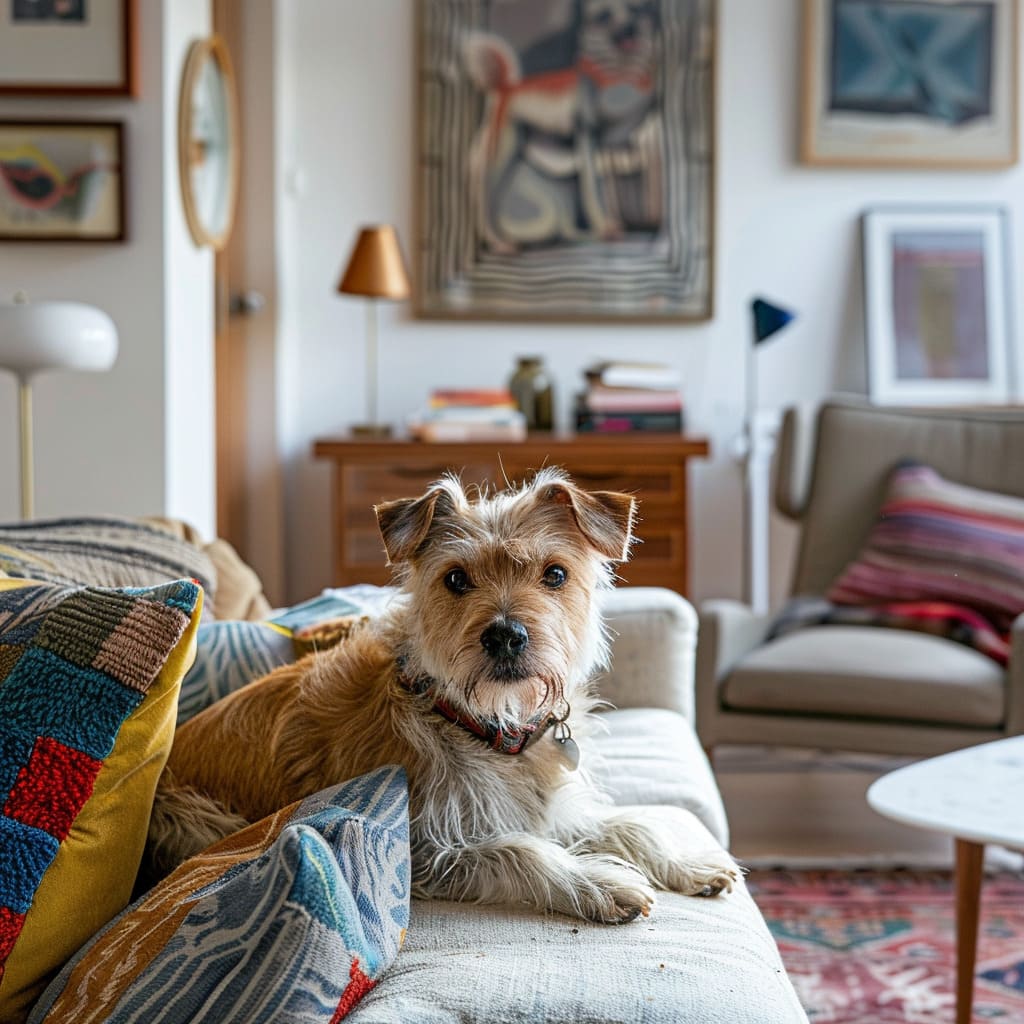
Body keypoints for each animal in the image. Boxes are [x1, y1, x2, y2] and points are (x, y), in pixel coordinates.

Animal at [149, 468, 737, 925]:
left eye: (555, 574)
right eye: (456, 579)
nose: (505, 635)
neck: (483, 724)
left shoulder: (543, 809)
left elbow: (629, 823)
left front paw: (688, 863)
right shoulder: (427, 850)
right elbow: (523, 850)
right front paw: (600, 884)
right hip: (194, 818)